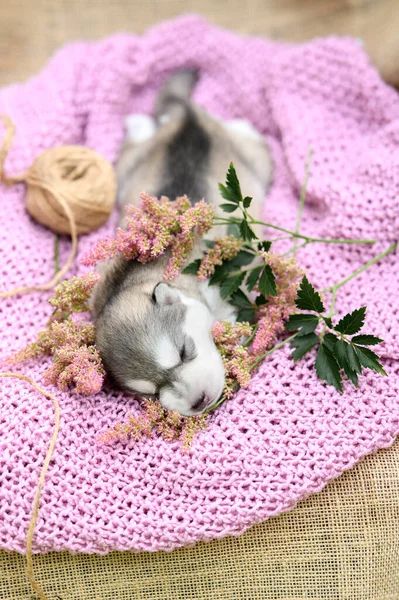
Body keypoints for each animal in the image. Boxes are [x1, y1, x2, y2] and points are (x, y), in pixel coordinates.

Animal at [91, 70, 272, 414]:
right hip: (130, 164)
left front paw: (229, 319)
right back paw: (140, 123)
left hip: (258, 160)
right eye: (151, 392)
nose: (198, 401)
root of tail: (188, 118)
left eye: (184, 352)